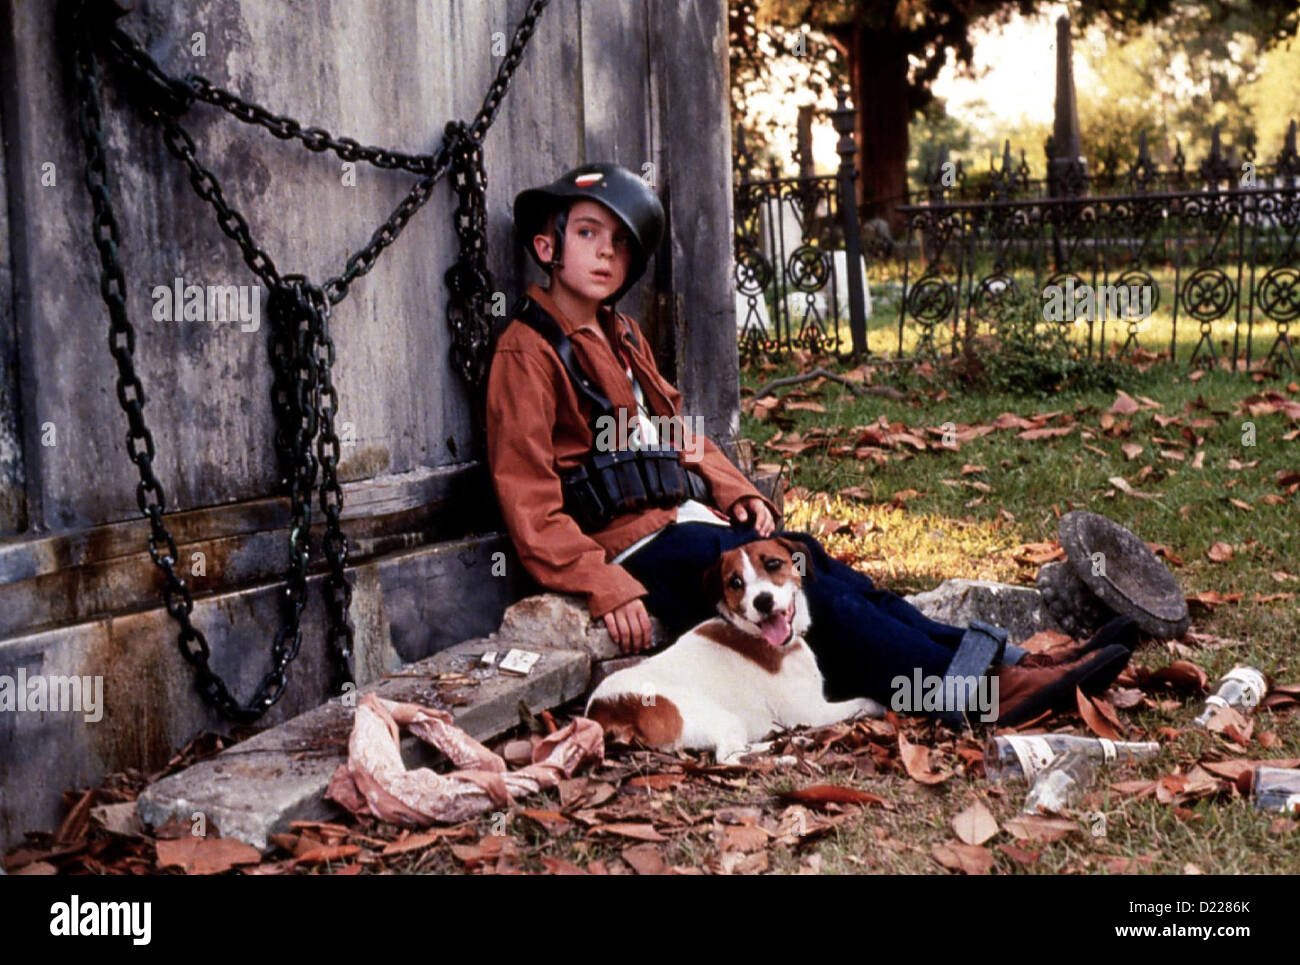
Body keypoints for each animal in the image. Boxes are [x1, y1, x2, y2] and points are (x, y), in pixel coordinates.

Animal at [587, 535, 883, 764]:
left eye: (773, 564)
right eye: (735, 582)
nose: (762, 601)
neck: (754, 635)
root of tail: (604, 711)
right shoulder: (811, 711)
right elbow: (865, 701)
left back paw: (790, 742)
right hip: (717, 717)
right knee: (729, 757)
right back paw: (782, 759)